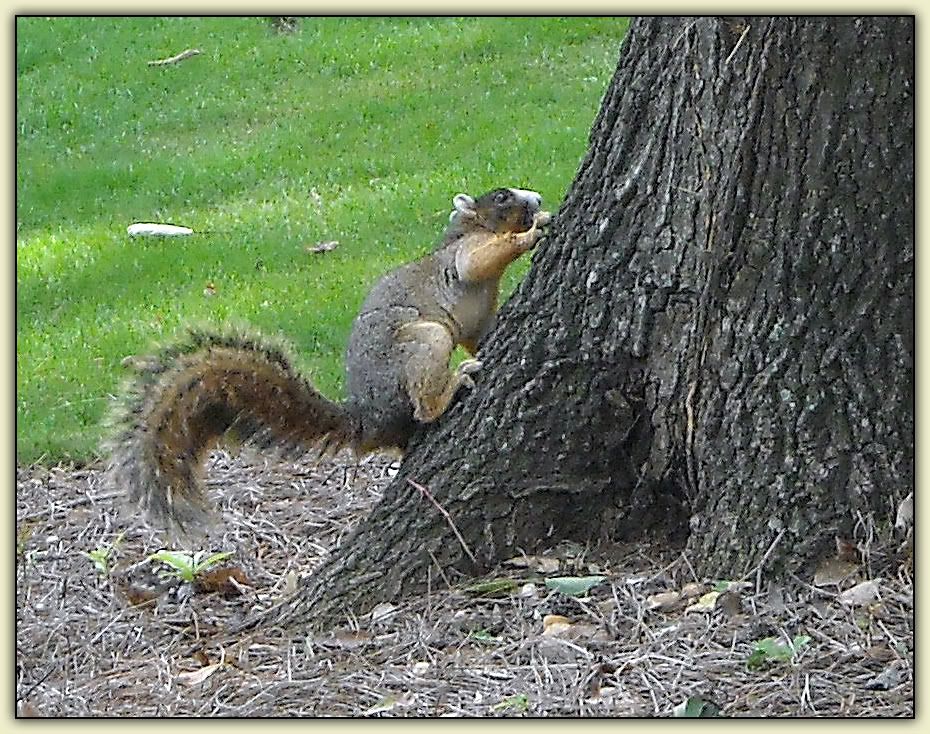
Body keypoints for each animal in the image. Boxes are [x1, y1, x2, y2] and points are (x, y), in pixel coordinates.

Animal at [105, 187, 552, 536]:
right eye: (501, 197)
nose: (538, 199)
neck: (468, 229)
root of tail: (370, 418)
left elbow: (480, 334)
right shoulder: (462, 257)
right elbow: (482, 259)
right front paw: (535, 230)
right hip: (425, 341)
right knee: (424, 408)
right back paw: (452, 385)